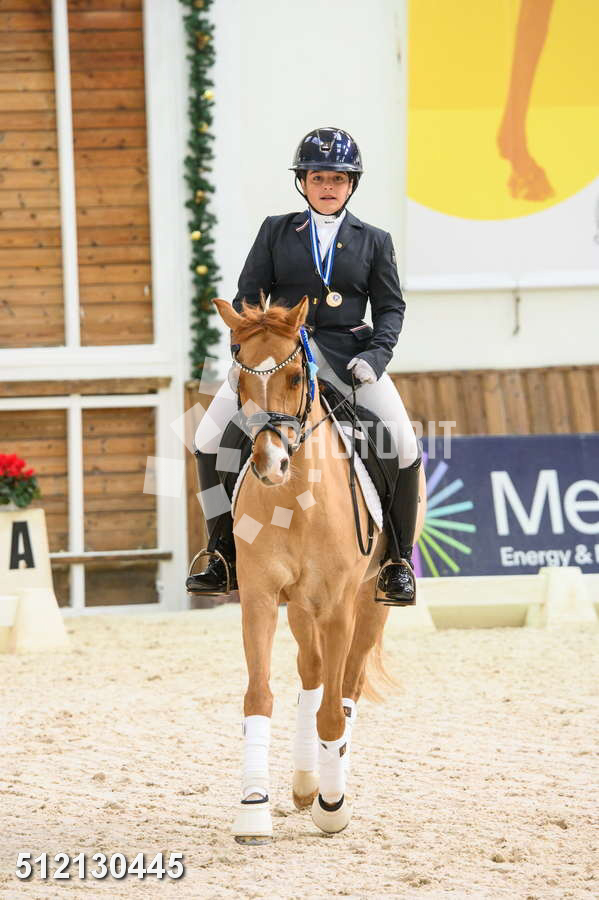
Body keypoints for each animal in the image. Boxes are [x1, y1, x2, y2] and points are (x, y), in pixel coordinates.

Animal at [212, 295, 424, 842]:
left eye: (293, 377)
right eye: (240, 376)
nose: (270, 465)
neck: (296, 500)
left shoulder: (337, 606)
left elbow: (334, 712)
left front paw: (333, 806)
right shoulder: (262, 599)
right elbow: (259, 698)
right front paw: (254, 806)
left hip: (369, 603)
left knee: (345, 687)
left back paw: (329, 782)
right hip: (299, 608)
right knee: (311, 675)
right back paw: (307, 779)